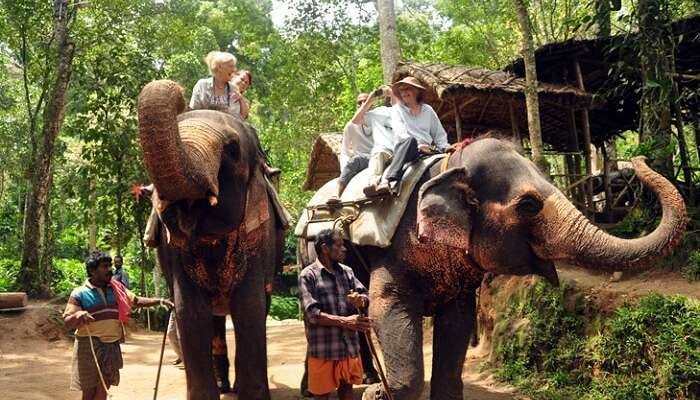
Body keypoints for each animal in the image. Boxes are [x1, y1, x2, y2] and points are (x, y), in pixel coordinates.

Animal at [137, 79, 282, 398]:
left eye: (232, 150)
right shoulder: (173, 253)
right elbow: (190, 314)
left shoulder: (259, 237)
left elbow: (249, 309)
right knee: (214, 321)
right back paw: (223, 385)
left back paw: (234, 387)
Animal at [342, 136, 688, 398]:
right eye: (529, 205)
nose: (640, 157)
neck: (449, 167)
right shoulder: (393, 249)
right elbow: (386, 306)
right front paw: (380, 393)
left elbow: (457, 325)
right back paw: (370, 382)